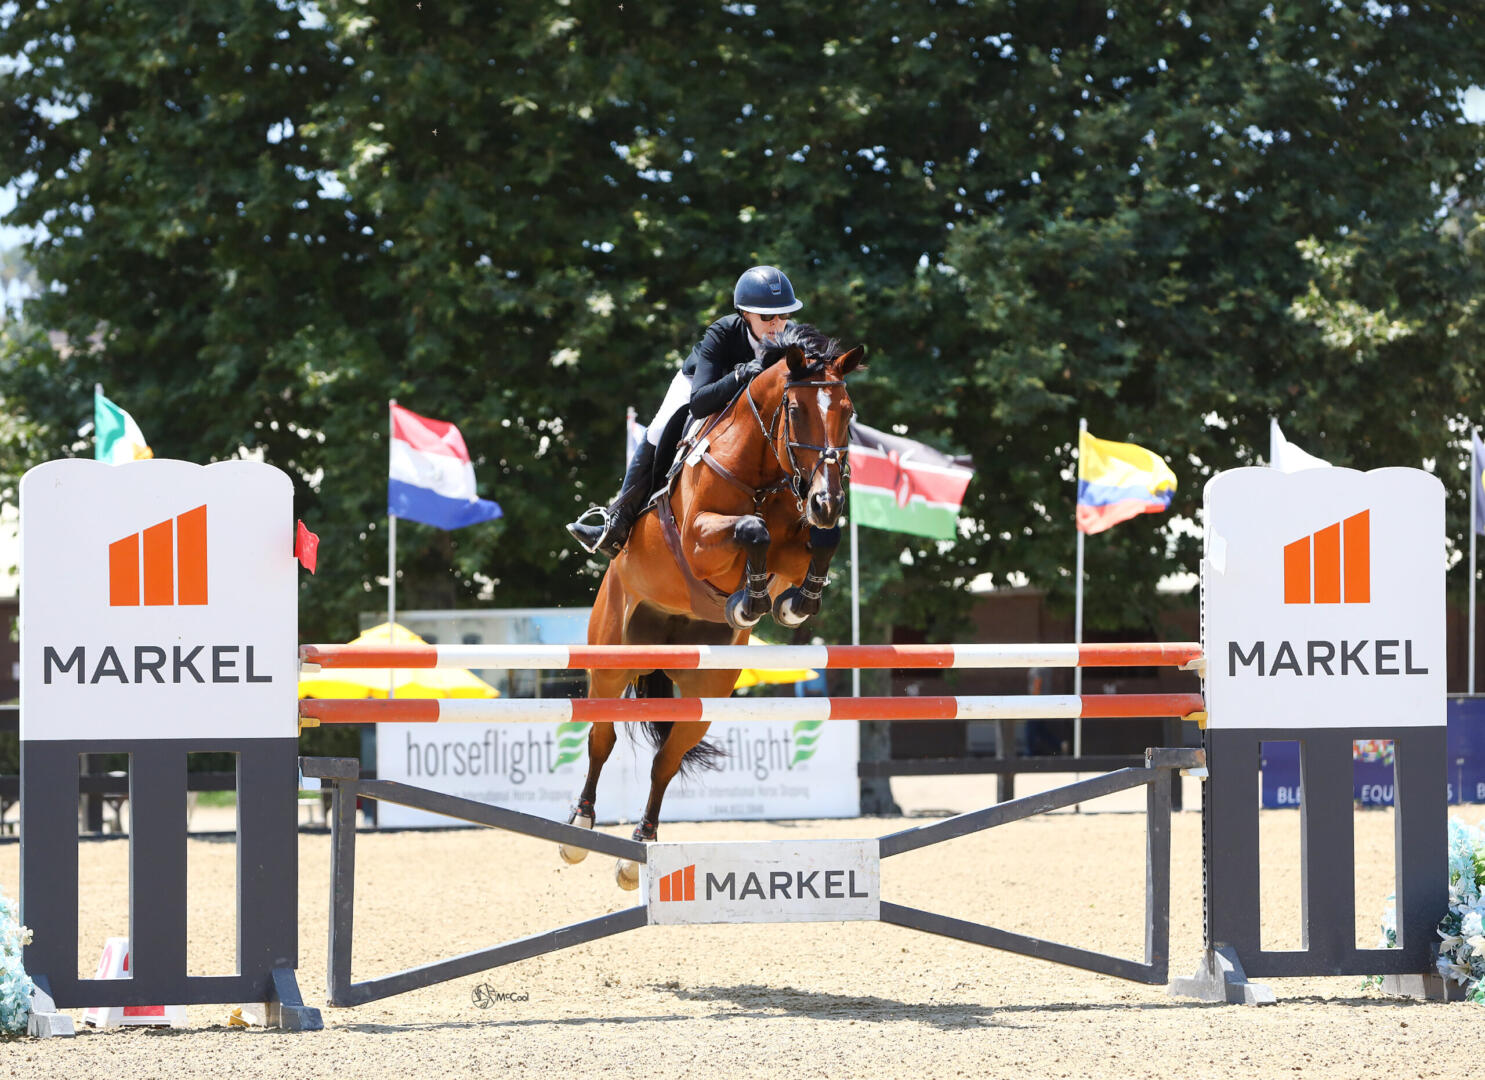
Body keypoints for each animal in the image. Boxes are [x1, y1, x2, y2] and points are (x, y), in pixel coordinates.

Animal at [558, 326, 867, 885]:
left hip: (707, 689)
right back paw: (579, 829)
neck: (764, 470)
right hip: (612, 659)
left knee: (665, 759)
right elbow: (752, 528)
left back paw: (639, 849)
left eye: (848, 411)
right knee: (600, 737)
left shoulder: (798, 541)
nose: (828, 500)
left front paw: (791, 603)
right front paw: (754, 599)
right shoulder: (700, 541)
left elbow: (820, 541)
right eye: (795, 410)